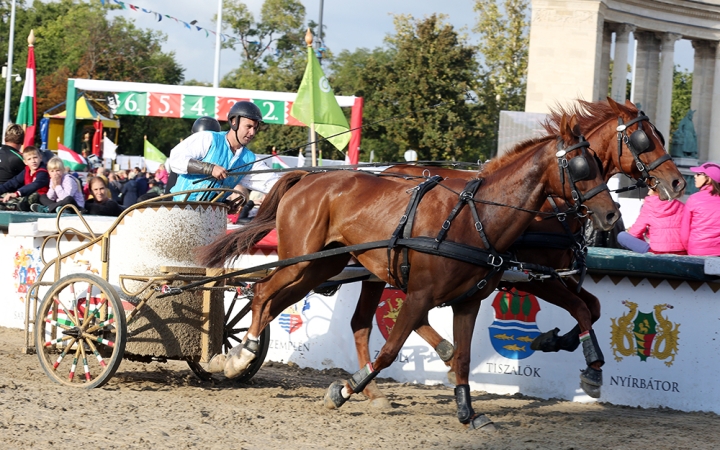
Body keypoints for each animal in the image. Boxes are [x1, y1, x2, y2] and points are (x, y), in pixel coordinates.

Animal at [197, 115, 620, 428]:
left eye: (600, 165)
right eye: (580, 167)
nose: (612, 215)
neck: (477, 217)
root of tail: (310, 177)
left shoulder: (470, 301)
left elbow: (464, 357)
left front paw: (468, 411)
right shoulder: (421, 295)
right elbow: (388, 352)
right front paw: (344, 390)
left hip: (322, 266)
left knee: (280, 303)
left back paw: (237, 355)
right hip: (302, 260)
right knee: (263, 293)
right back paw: (239, 356)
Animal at [352, 97, 688, 400]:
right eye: (643, 139)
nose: (677, 183)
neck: (552, 205)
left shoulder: (555, 272)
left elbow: (593, 307)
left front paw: (556, 342)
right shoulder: (535, 277)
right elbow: (581, 308)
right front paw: (589, 367)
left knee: (384, 319)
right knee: (367, 322)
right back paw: (376, 385)